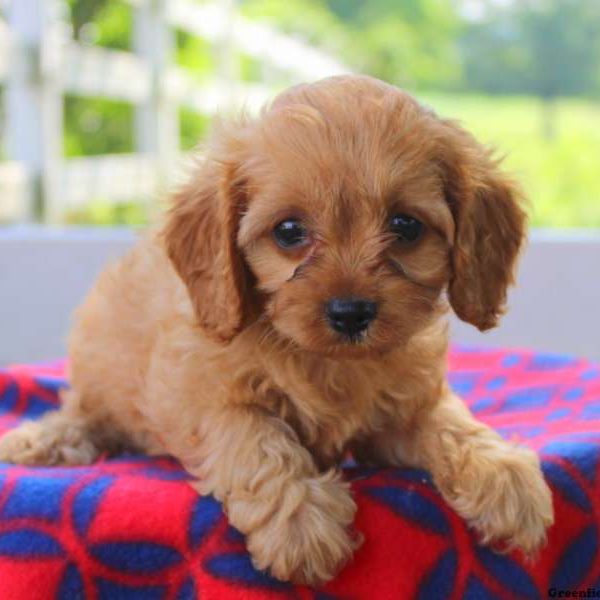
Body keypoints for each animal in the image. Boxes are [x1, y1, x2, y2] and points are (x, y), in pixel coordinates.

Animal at [0, 75, 552, 584]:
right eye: (289, 232)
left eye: (406, 226)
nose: (350, 312)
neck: (327, 362)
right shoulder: (202, 399)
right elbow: (256, 439)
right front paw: (301, 519)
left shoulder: (406, 407)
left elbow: (451, 422)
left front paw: (504, 476)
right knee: (84, 410)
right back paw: (43, 441)